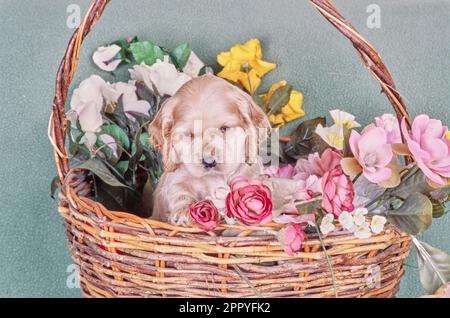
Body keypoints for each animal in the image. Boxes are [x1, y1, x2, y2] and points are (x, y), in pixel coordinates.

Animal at [150, 74, 270, 225]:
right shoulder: (175, 178)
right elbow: (179, 190)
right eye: (189, 135)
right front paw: (184, 211)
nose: (209, 162)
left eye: (224, 129)